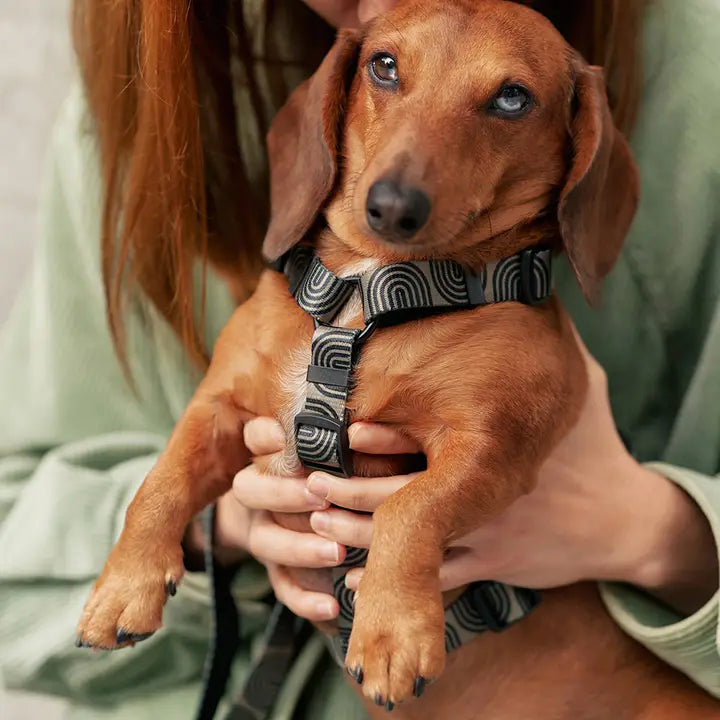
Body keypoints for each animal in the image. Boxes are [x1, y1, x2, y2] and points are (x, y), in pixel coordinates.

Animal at [79, 0, 720, 716]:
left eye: (512, 97)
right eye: (384, 66)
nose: (392, 206)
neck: (368, 293)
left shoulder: (490, 451)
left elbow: (409, 509)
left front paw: (391, 632)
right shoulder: (218, 408)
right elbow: (159, 482)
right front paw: (124, 585)